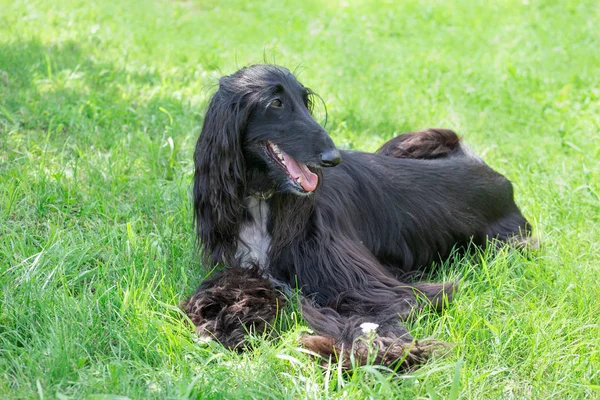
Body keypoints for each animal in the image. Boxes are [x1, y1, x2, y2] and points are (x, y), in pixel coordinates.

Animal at [185, 64, 532, 370]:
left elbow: (369, 317)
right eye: (276, 103)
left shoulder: (377, 289)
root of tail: (500, 178)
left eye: (305, 100)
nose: (332, 157)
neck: (265, 201)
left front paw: (355, 353)